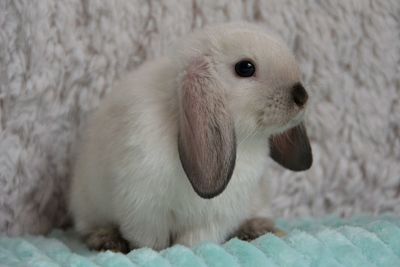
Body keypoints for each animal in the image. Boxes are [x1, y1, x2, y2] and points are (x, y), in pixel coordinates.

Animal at [69, 21, 312, 253]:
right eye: (245, 67)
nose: (302, 96)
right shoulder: (143, 210)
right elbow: (150, 243)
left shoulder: (213, 219)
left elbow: (192, 243)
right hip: (87, 205)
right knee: (91, 227)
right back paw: (107, 241)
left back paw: (259, 229)